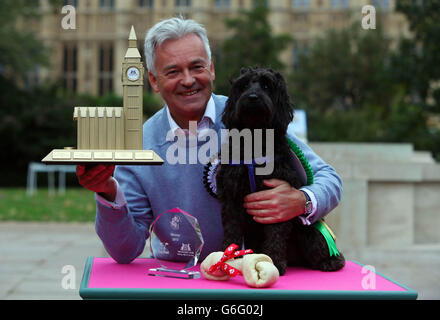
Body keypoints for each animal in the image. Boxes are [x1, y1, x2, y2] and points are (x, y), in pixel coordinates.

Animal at [216, 67, 344, 276]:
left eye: (267, 85)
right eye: (244, 85)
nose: (252, 97)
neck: (255, 139)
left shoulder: (277, 201)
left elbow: (275, 234)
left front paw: (273, 261)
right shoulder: (231, 197)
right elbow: (232, 230)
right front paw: (228, 257)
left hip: (310, 230)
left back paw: (330, 261)